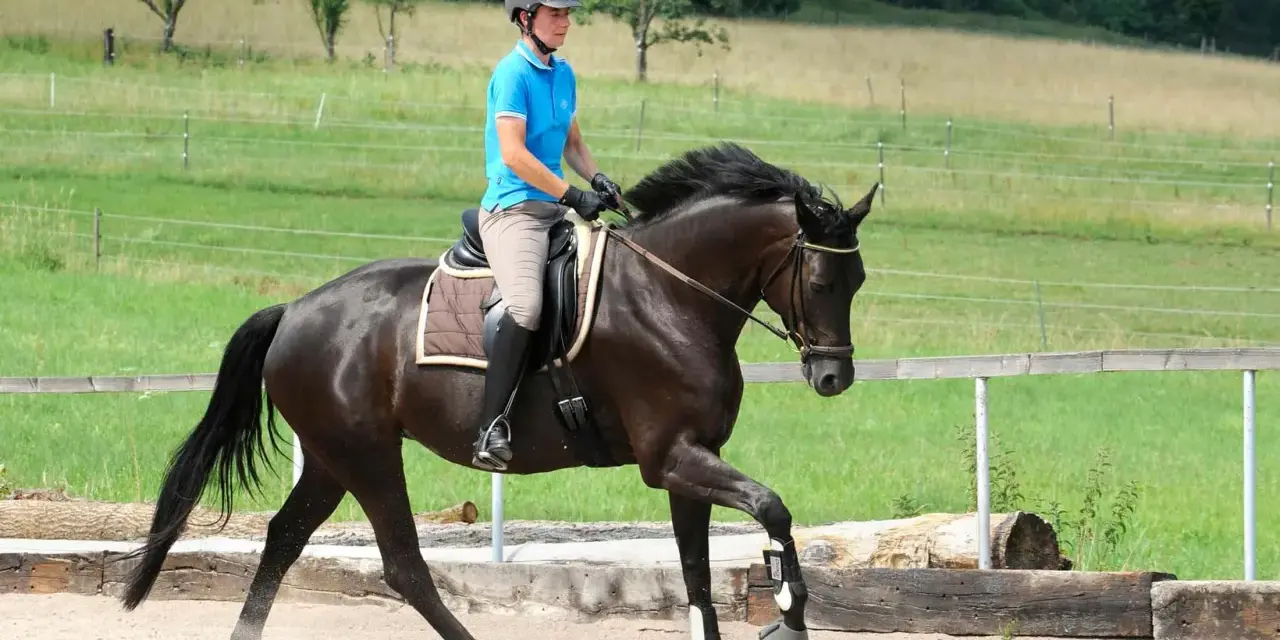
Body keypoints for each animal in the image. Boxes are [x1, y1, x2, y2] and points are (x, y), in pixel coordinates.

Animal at [116, 141, 879, 640]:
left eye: (859, 280)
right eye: (820, 281)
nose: (833, 377)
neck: (672, 295)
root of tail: (296, 311)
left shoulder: (690, 461)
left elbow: (698, 576)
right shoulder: (671, 458)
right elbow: (773, 509)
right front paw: (789, 606)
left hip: (333, 459)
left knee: (283, 539)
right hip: (367, 455)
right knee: (402, 567)